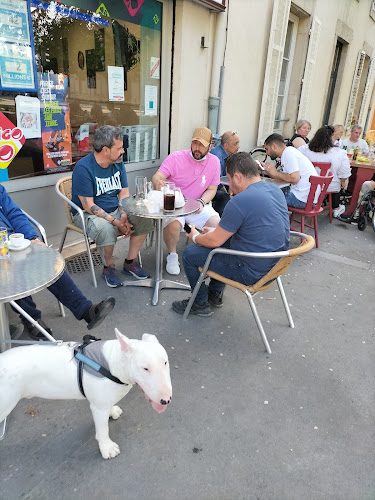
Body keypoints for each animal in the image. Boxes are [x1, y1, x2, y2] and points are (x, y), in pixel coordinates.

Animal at [0, 328, 173, 460]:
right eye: (145, 368)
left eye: (165, 362)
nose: (166, 400)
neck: (113, 363)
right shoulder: (98, 408)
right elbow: (103, 429)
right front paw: (107, 448)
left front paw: (112, 411)